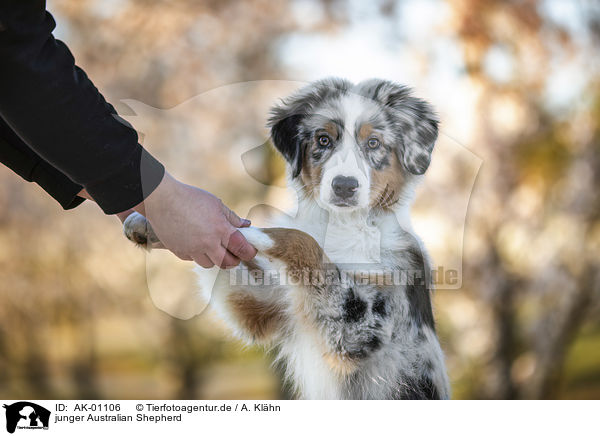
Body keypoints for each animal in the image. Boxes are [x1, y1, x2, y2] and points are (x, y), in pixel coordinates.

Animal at [123, 77, 450, 398]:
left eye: (374, 143)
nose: (344, 186)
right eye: (323, 140)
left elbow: (302, 239)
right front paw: (157, 223)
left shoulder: (362, 324)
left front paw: (244, 230)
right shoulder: (262, 304)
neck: (341, 224)